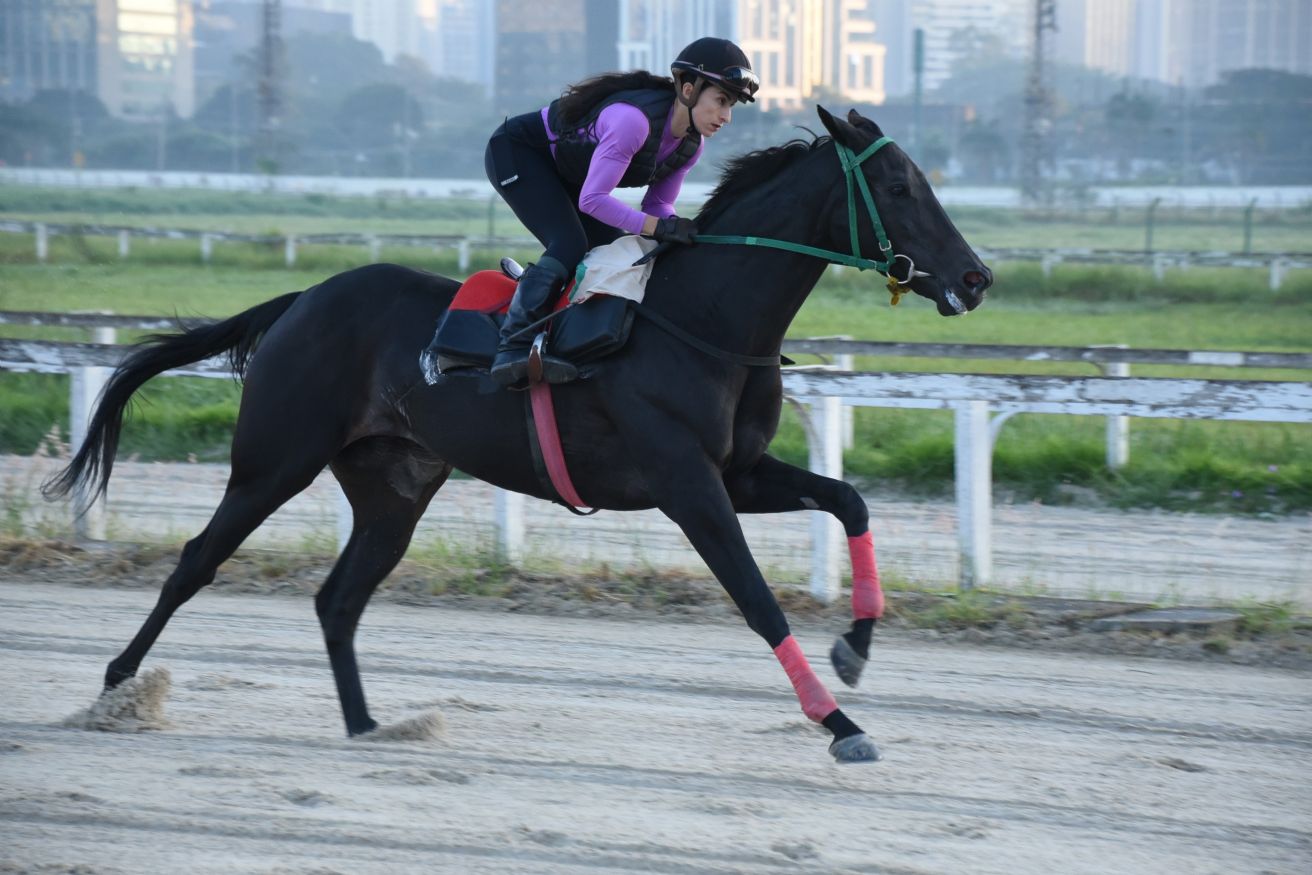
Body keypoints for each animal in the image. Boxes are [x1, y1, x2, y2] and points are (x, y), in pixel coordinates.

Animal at [45, 107, 990, 763]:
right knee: (196, 561)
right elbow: (758, 600)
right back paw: (115, 693)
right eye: (899, 188)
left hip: (394, 487)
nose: (977, 277)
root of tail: (302, 299)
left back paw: (370, 726)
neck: (702, 321)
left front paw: (856, 648)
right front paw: (840, 721)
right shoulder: (688, 486)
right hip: (274, 460)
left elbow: (851, 500)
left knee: (338, 598)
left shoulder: (741, 472)